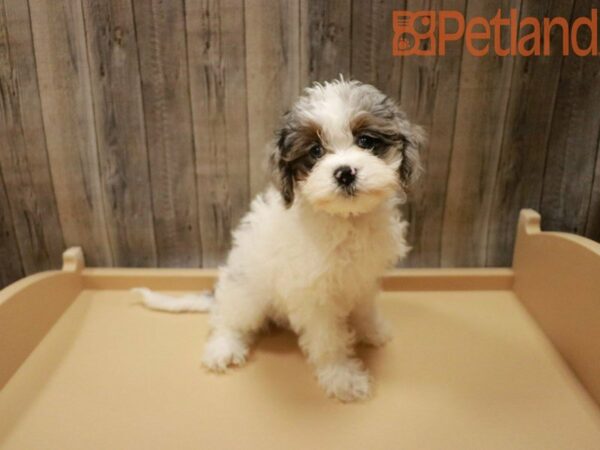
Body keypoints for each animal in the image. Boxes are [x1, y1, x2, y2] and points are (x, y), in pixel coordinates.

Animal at [139, 79, 422, 402]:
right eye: (315, 151)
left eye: (365, 141)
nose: (345, 173)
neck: (346, 220)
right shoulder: (314, 298)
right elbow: (329, 341)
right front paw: (342, 376)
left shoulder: (361, 278)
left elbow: (364, 308)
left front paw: (372, 330)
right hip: (246, 293)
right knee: (227, 319)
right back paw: (223, 347)